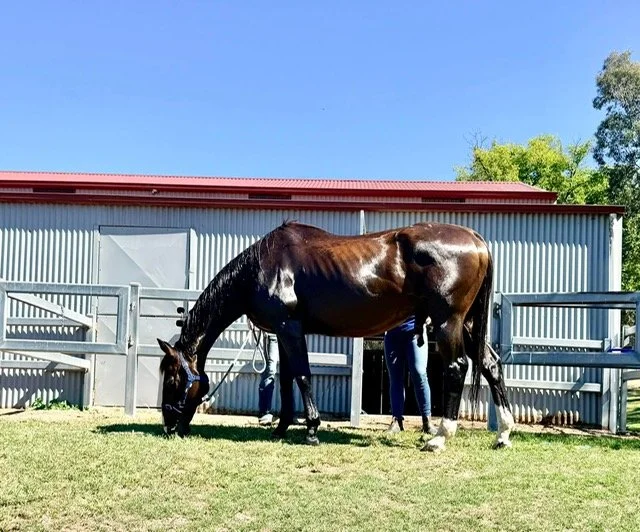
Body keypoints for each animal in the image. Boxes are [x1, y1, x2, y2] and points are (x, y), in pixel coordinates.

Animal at [157, 221, 515, 452]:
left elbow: (302, 375)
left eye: (173, 379)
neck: (262, 266)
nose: (168, 425)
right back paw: (504, 434)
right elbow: (286, 380)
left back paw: (439, 437)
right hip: (468, 324)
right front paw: (282, 427)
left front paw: (312, 430)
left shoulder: (289, 328)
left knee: (457, 367)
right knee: (490, 365)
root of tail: (475, 239)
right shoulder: (284, 332)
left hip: (447, 321)